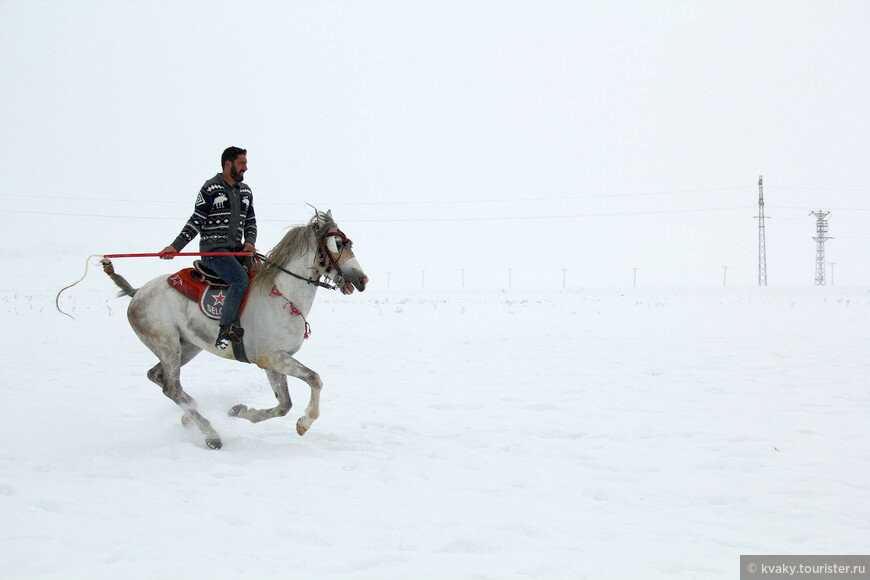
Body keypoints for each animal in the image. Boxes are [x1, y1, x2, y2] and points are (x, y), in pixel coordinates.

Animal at [103, 211, 368, 450]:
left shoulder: (273, 362)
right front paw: (305, 423)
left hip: (187, 346)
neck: (283, 294)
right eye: (338, 244)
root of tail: (137, 293)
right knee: (171, 388)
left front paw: (238, 410)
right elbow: (314, 379)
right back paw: (210, 434)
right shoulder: (273, 358)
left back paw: (192, 413)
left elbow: (284, 405)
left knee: (157, 376)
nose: (362, 280)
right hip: (167, 345)